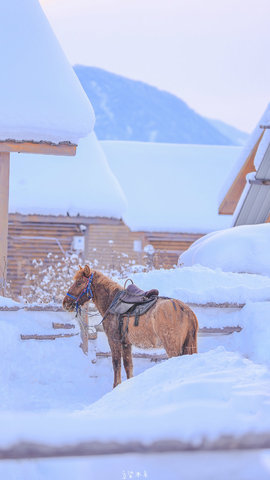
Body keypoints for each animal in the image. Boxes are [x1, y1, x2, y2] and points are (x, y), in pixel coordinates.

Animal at [62, 264, 198, 388]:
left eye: (79, 283)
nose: (65, 303)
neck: (112, 302)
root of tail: (186, 310)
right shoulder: (126, 344)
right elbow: (128, 365)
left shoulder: (114, 340)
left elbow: (116, 363)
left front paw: (116, 386)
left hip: (172, 347)